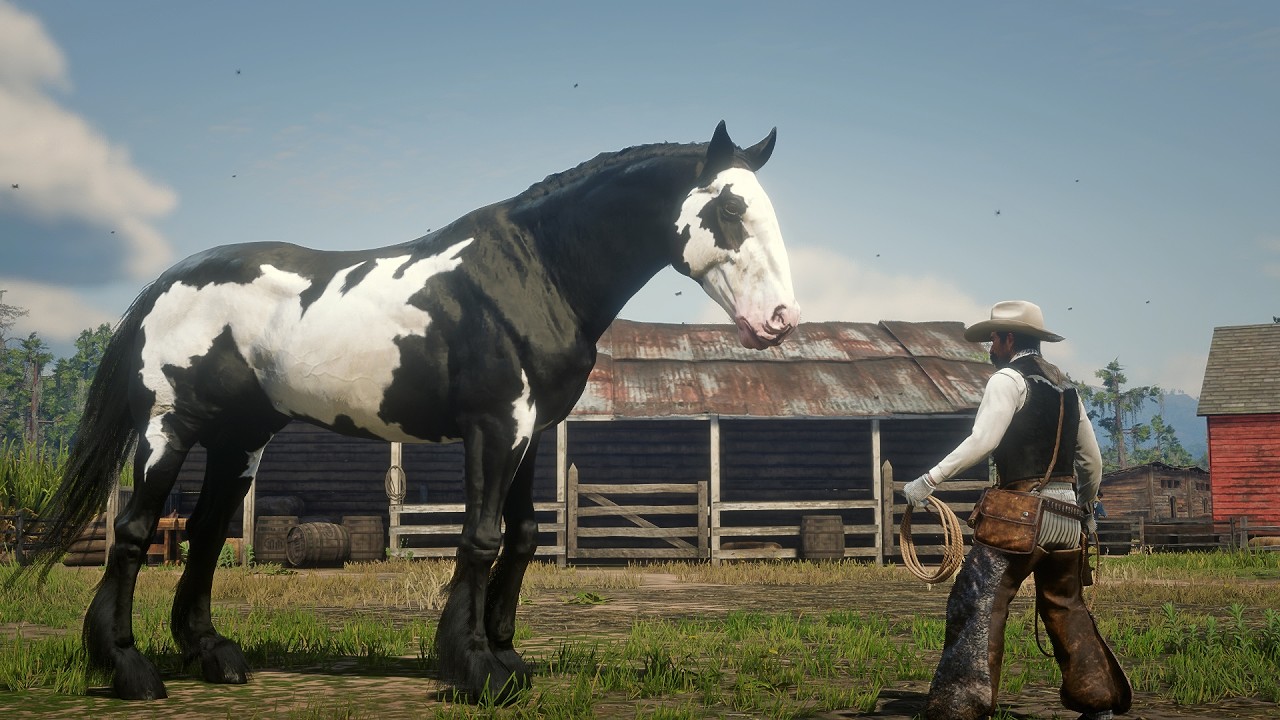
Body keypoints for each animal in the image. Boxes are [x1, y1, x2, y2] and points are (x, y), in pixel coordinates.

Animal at [30, 121, 800, 702]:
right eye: (730, 210)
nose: (779, 321)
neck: (534, 273)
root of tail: (167, 283)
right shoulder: (494, 425)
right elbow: (481, 538)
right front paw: (474, 669)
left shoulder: (530, 431)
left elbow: (524, 537)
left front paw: (506, 657)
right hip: (169, 428)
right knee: (133, 532)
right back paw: (126, 668)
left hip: (237, 440)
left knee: (209, 535)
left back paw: (214, 655)